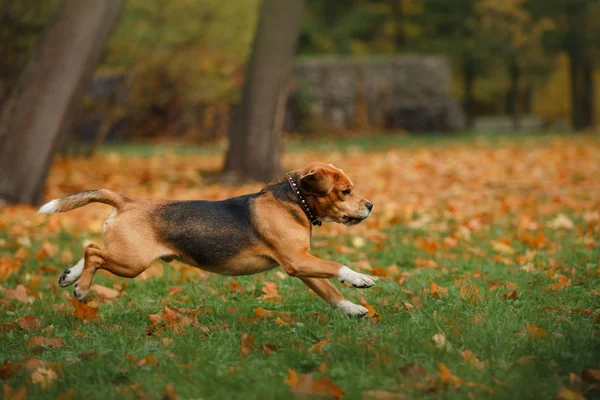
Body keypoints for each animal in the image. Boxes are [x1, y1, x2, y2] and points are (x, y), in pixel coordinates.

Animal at [37, 162, 372, 316]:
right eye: (345, 191)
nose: (370, 206)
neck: (294, 200)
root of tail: (127, 201)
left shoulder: (304, 266)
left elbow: (330, 292)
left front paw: (352, 310)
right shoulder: (298, 261)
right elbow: (336, 267)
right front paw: (360, 279)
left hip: (126, 260)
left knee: (90, 251)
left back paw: (70, 276)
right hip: (131, 263)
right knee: (92, 252)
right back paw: (81, 289)